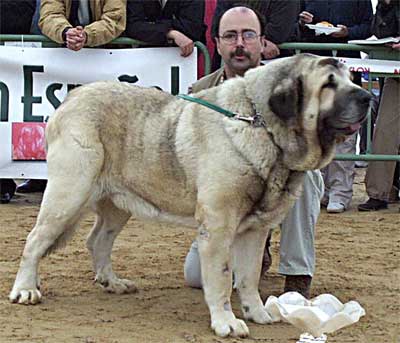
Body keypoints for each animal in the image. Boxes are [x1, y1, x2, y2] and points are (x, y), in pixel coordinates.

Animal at [10, 54, 372, 338]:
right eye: (328, 84)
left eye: (351, 78)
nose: (367, 96)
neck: (262, 125)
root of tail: (71, 98)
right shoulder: (220, 227)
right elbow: (222, 278)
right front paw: (227, 322)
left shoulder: (255, 231)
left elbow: (249, 276)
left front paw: (257, 312)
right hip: (69, 193)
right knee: (35, 240)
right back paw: (26, 289)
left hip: (116, 204)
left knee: (98, 240)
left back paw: (112, 282)